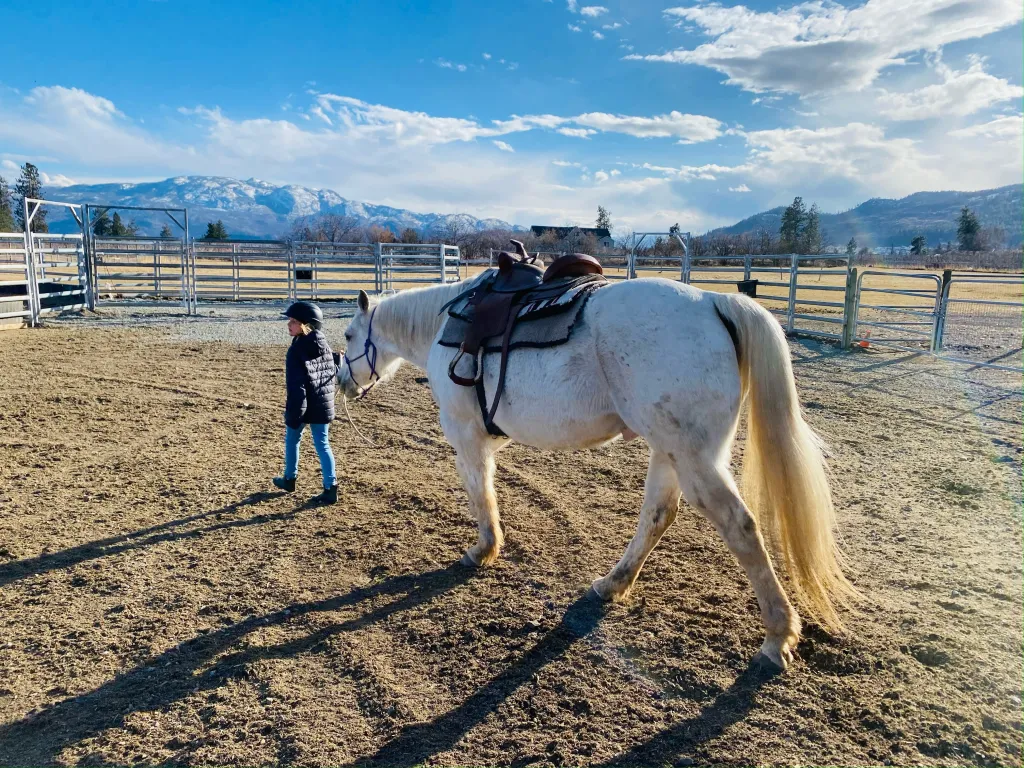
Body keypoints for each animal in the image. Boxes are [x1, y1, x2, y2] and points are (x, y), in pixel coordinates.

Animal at [337, 280, 856, 671]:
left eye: (346, 337)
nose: (342, 382)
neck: (445, 329)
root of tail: (713, 300)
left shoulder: (466, 435)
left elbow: (479, 492)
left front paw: (483, 550)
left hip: (695, 461)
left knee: (741, 528)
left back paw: (778, 635)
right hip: (669, 452)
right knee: (657, 516)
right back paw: (613, 583)